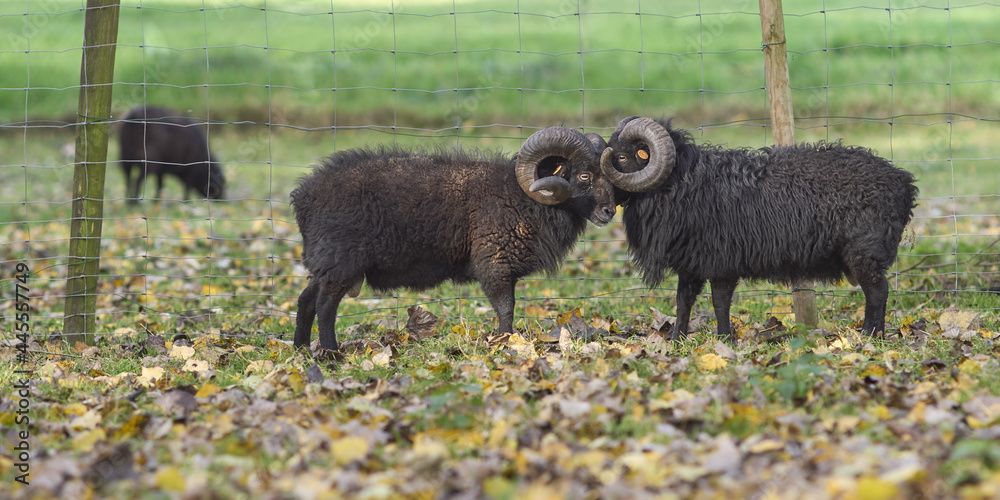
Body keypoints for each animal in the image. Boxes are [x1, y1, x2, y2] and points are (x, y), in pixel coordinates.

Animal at [292, 127, 616, 350]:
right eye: (584, 176)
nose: (610, 211)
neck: (524, 197)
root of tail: (304, 196)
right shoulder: (495, 262)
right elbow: (506, 308)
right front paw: (507, 342)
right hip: (340, 260)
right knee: (325, 306)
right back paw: (332, 354)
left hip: (326, 261)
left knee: (306, 300)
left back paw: (301, 349)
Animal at [596, 115, 916, 342]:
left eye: (622, 157)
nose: (602, 202)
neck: (681, 183)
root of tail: (903, 182)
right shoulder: (692, 261)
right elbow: (683, 301)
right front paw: (677, 340)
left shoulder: (722, 261)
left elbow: (719, 302)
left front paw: (724, 339)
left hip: (865, 251)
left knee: (877, 292)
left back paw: (871, 336)